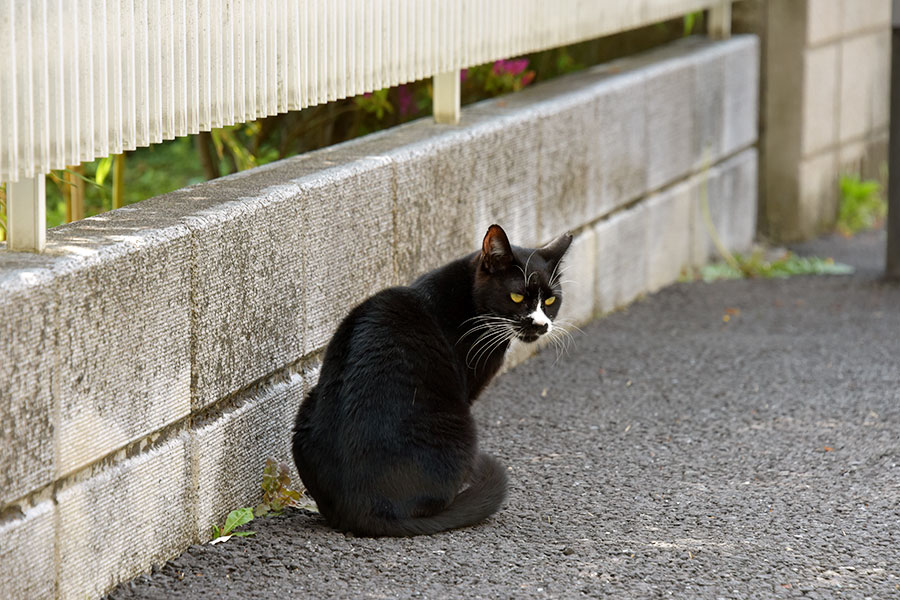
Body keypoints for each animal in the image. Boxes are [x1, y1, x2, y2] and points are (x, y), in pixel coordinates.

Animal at [294, 224, 576, 536]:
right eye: (517, 297)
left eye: (550, 300)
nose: (541, 324)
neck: (468, 299)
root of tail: (363, 508)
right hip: (461, 426)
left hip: (307, 409)